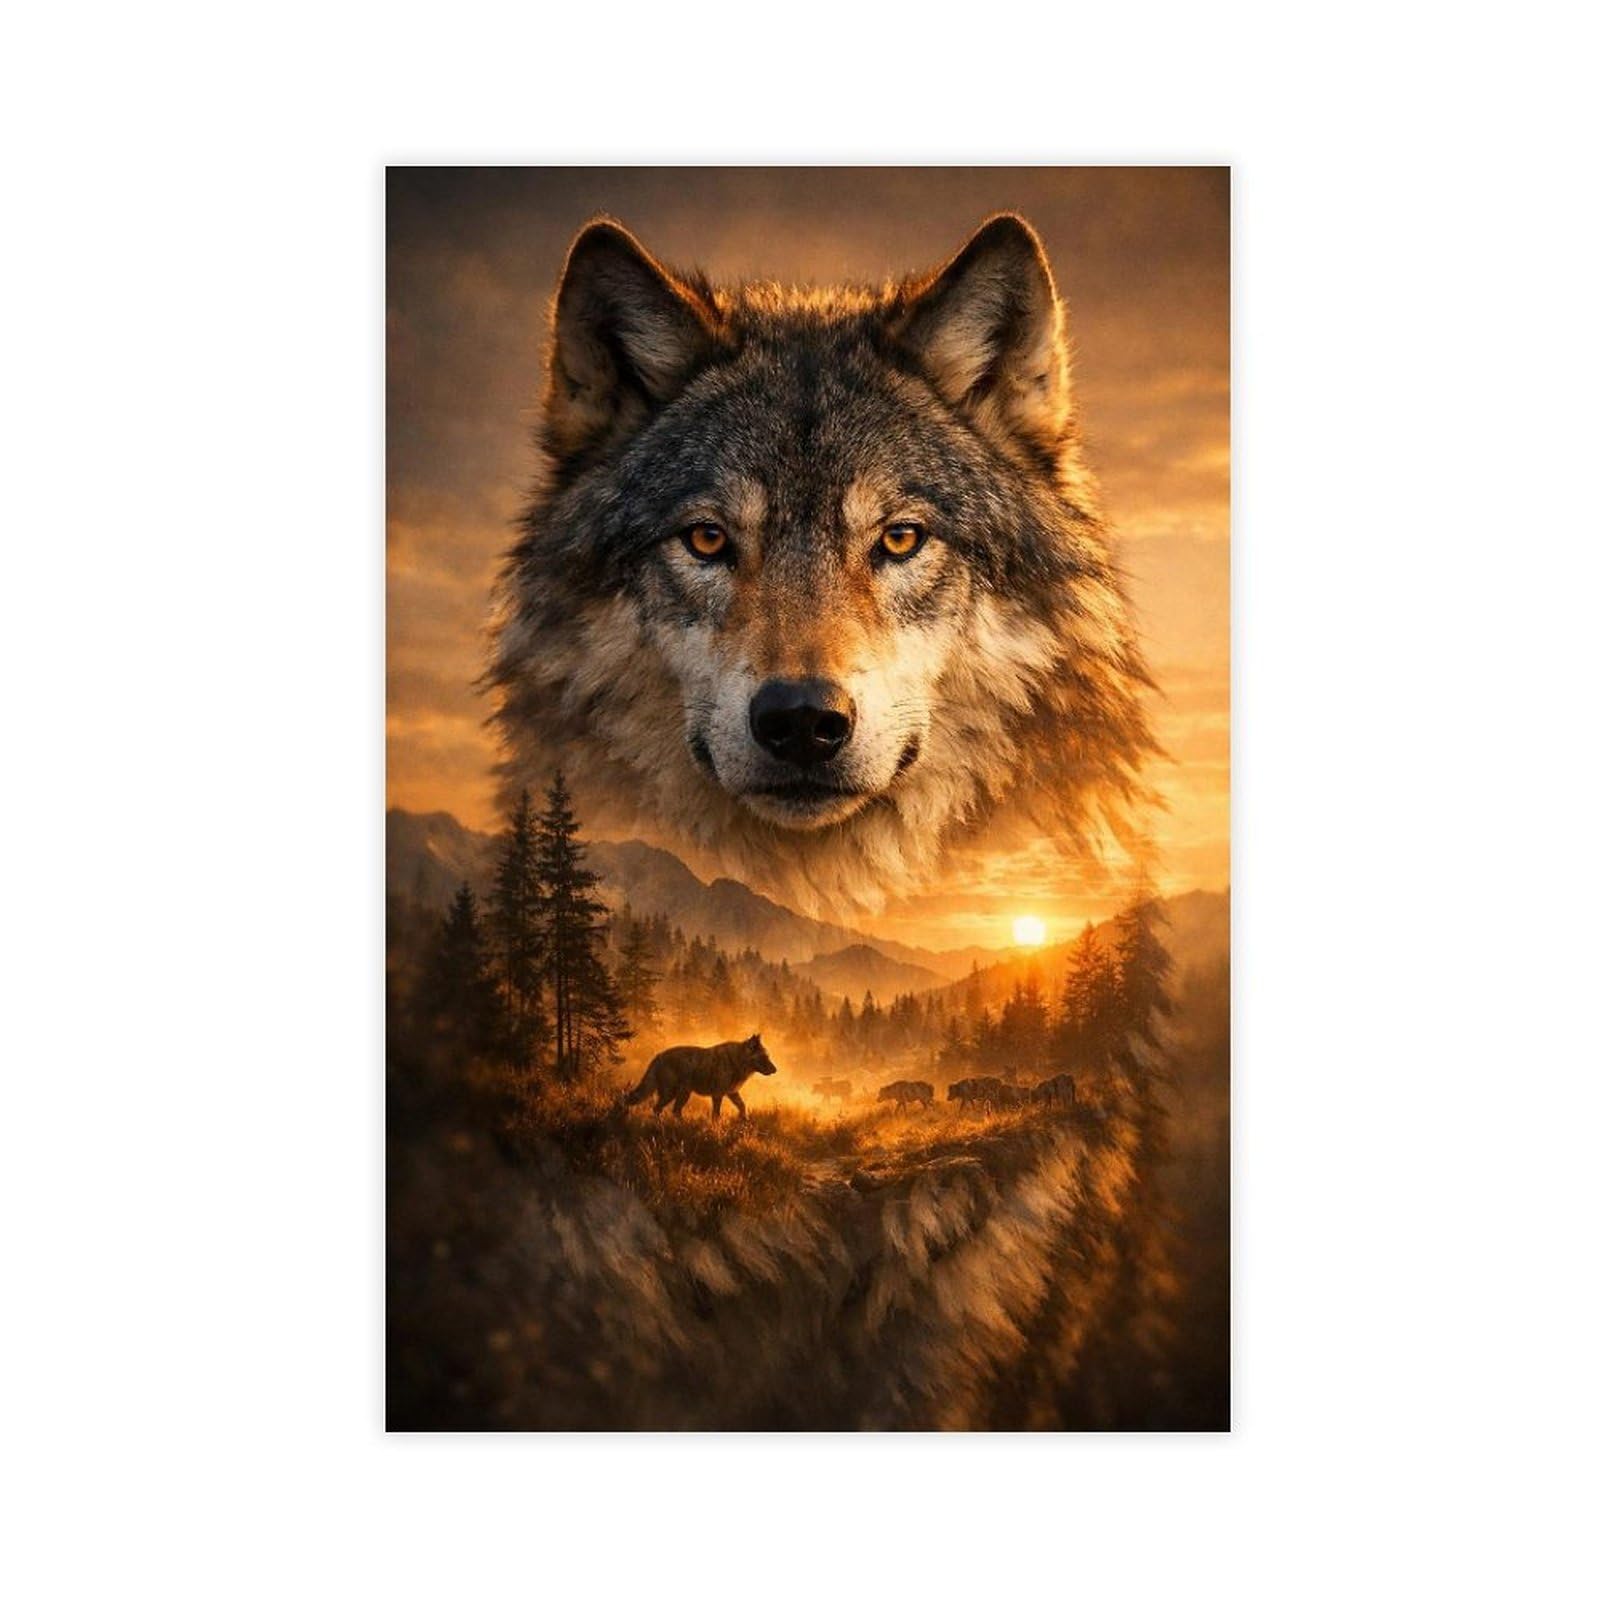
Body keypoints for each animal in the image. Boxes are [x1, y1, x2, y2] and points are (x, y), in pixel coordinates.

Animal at [622, 1034, 777, 1119]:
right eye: (764, 1057)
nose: (775, 1070)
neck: (737, 1061)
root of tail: (658, 1056)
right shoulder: (718, 1094)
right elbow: (716, 1114)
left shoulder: (732, 1092)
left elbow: (742, 1106)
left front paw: (744, 1121)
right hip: (677, 1093)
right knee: (668, 1110)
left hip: (679, 1094)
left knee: (665, 1110)